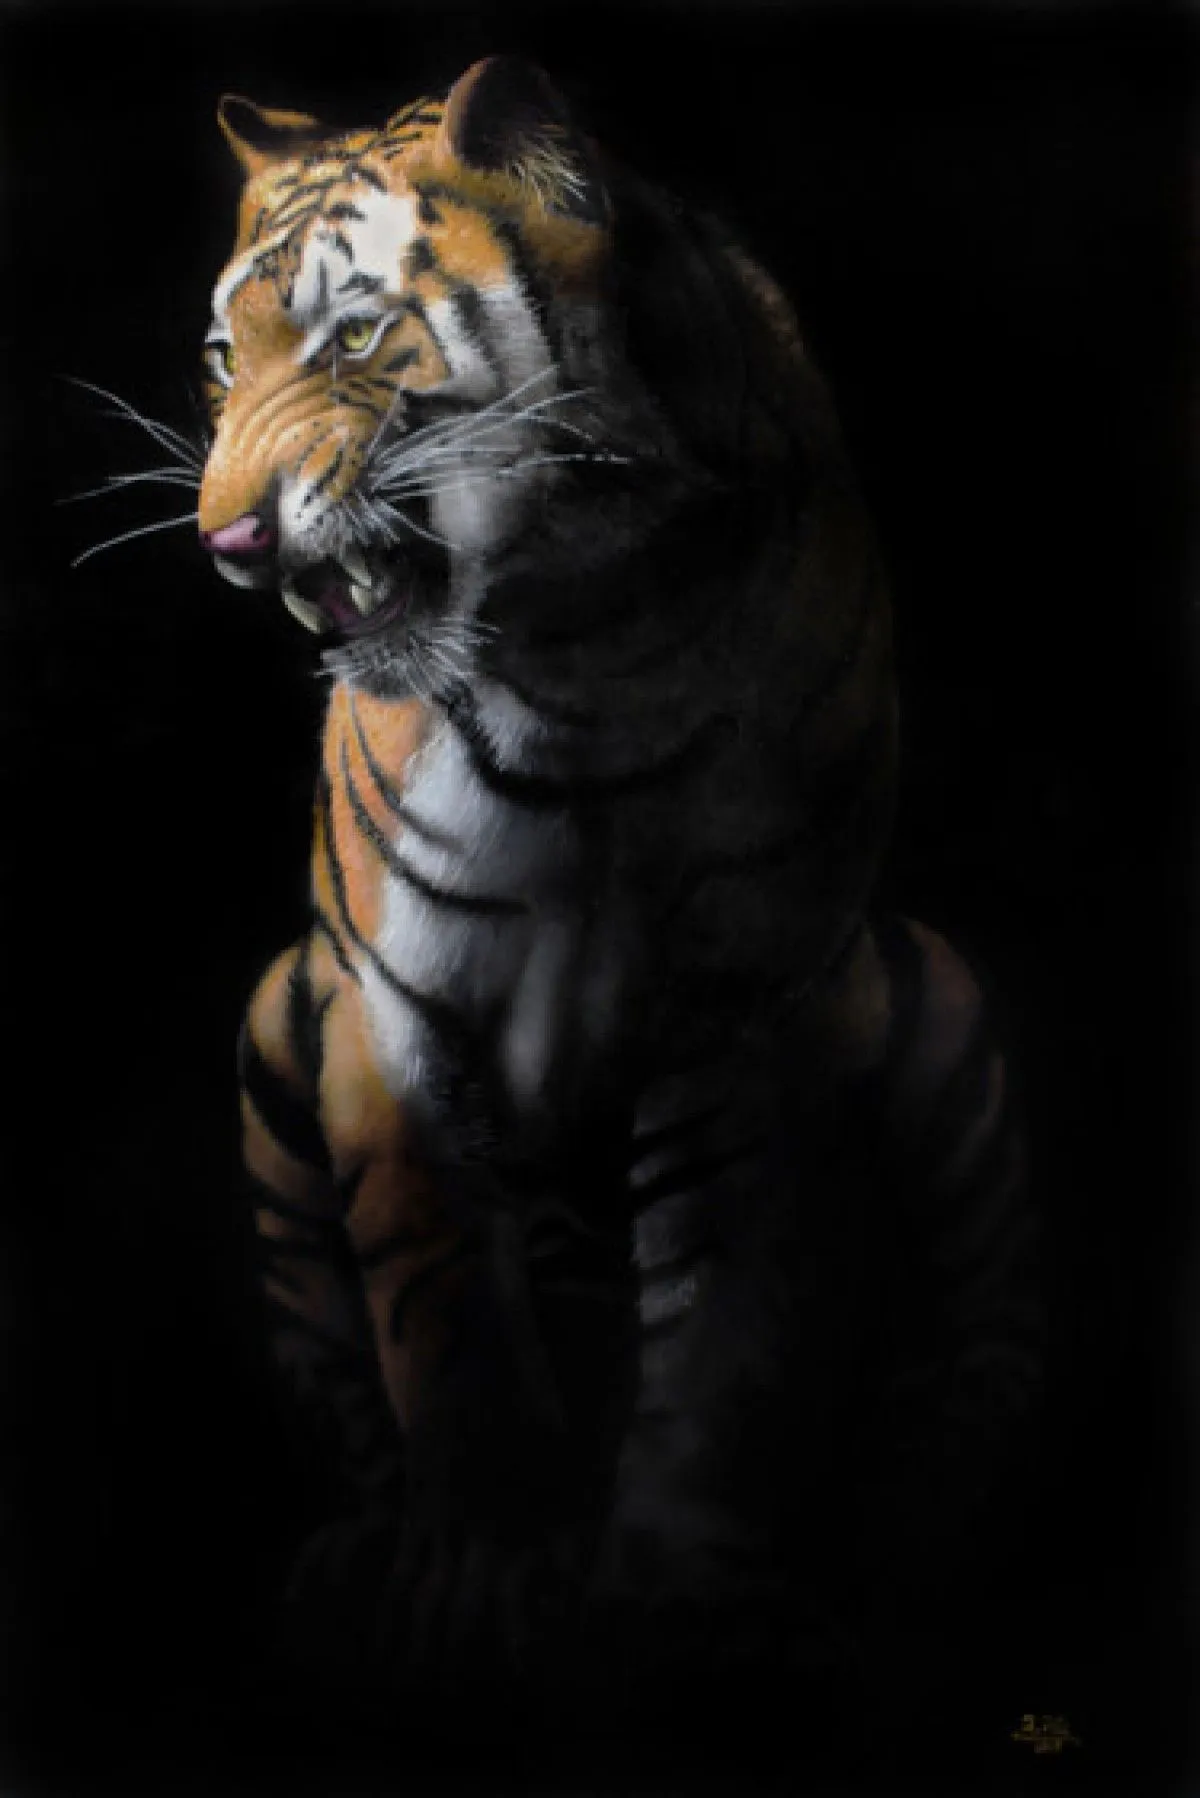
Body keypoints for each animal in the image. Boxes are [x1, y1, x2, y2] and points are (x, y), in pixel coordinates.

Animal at [200, 54, 1042, 1736]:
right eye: (218, 356)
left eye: (354, 338)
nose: (228, 540)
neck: (589, 642)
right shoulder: (389, 1012)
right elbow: (439, 1314)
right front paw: (481, 1582)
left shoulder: (746, 1012)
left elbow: (724, 1322)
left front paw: (674, 1590)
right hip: (277, 1013)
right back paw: (351, 1566)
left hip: (938, 988)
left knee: (979, 1358)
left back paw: (899, 1547)